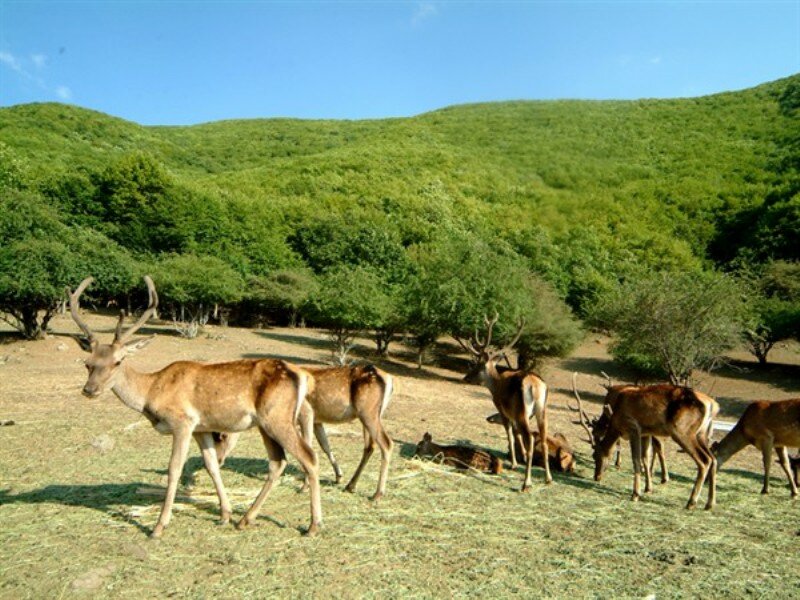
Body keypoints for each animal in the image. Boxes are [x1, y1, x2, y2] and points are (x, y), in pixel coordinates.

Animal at [66, 276, 322, 540]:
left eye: (118, 362)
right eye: (88, 363)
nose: (90, 390)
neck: (151, 391)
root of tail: (301, 375)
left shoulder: (183, 422)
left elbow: (174, 468)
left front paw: (159, 526)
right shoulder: (202, 428)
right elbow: (212, 466)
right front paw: (225, 514)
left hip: (277, 418)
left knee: (309, 457)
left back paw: (313, 525)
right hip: (266, 423)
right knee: (277, 462)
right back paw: (245, 519)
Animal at [217, 366, 396, 502]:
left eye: (223, 435)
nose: (219, 460)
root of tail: (389, 379)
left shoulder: (306, 412)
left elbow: (309, 446)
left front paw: (304, 486)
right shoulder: (317, 420)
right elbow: (325, 445)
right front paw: (338, 476)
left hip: (368, 412)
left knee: (387, 443)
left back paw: (377, 494)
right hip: (369, 415)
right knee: (370, 446)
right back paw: (350, 485)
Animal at [456, 312, 552, 490]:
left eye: (478, 366)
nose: (465, 378)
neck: (496, 384)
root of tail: (535, 385)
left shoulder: (502, 408)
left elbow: (509, 433)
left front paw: (514, 463)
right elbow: (516, 434)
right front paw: (519, 459)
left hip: (522, 411)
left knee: (530, 438)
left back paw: (526, 483)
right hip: (542, 410)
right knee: (543, 439)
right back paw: (548, 478)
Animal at [572, 372, 720, 508]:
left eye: (595, 455)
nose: (596, 477)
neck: (615, 417)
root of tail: (712, 405)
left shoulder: (633, 428)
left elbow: (636, 459)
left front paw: (635, 494)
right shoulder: (645, 433)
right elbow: (645, 458)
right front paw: (648, 489)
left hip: (682, 432)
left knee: (704, 460)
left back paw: (691, 502)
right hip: (702, 434)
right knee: (713, 458)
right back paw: (710, 504)